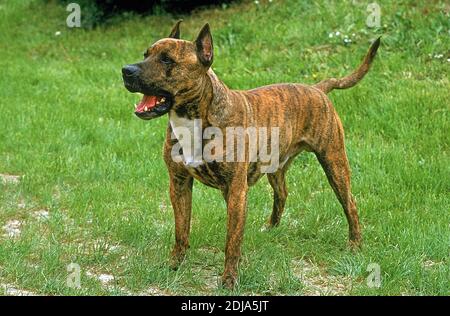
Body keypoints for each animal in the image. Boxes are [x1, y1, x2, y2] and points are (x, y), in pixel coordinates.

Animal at [122, 21, 380, 288]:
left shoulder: (235, 190)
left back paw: (355, 244)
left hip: (334, 163)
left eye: (167, 60)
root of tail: (316, 88)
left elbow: (232, 241)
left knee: (349, 203)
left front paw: (229, 278)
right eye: (145, 54)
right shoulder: (179, 184)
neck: (195, 117)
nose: (126, 70)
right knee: (282, 193)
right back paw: (271, 227)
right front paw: (175, 264)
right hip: (276, 167)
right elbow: (181, 229)